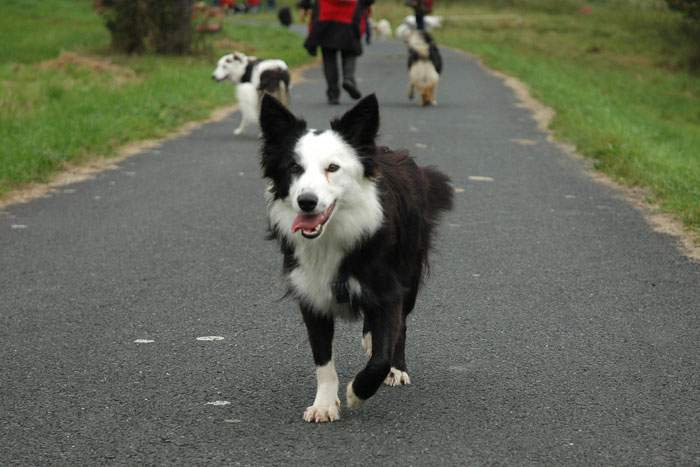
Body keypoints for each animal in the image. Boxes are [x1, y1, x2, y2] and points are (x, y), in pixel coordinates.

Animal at [258, 93, 454, 422]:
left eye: (333, 167)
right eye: (294, 167)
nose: (306, 201)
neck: (332, 235)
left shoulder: (388, 288)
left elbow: (382, 355)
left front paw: (357, 392)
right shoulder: (311, 294)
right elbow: (323, 358)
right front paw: (324, 405)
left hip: (410, 270)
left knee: (400, 326)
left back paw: (396, 368)